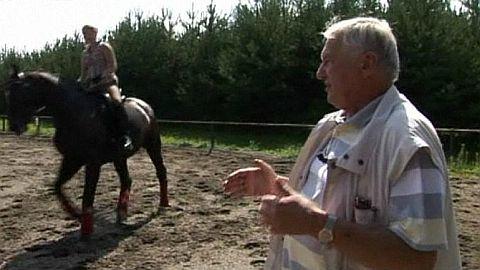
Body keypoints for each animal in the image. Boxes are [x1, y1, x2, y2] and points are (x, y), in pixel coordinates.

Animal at [3, 67, 168, 236]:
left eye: (20, 92)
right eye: (7, 93)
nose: (14, 126)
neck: (73, 114)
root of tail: (144, 107)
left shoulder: (92, 163)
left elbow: (88, 196)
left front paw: (86, 229)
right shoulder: (71, 159)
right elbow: (57, 187)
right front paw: (76, 215)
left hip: (153, 145)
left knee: (160, 171)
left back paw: (163, 204)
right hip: (119, 157)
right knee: (126, 180)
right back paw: (121, 214)